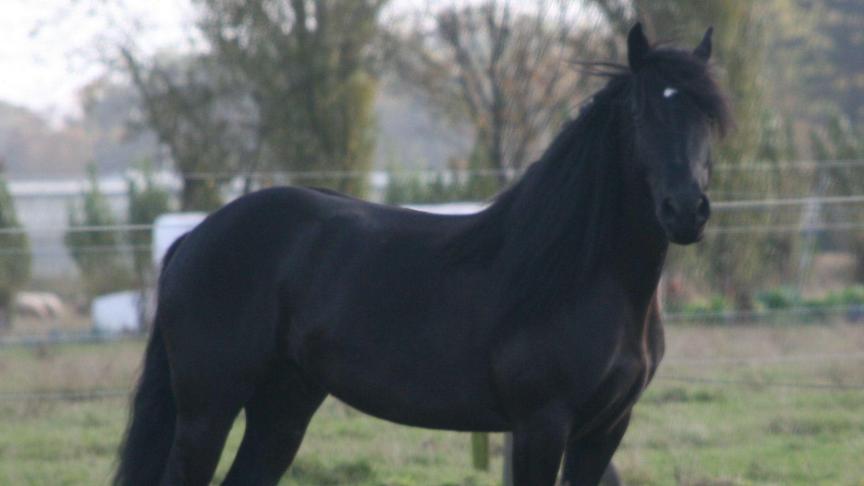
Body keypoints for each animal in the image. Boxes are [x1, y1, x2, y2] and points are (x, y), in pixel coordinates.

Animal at [114, 23, 731, 486]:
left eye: (709, 115)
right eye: (641, 113)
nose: (686, 211)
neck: (582, 278)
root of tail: (195, 238)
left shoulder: (604, 430)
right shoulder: (541, 425)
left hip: (281, 410)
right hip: (206, 411)